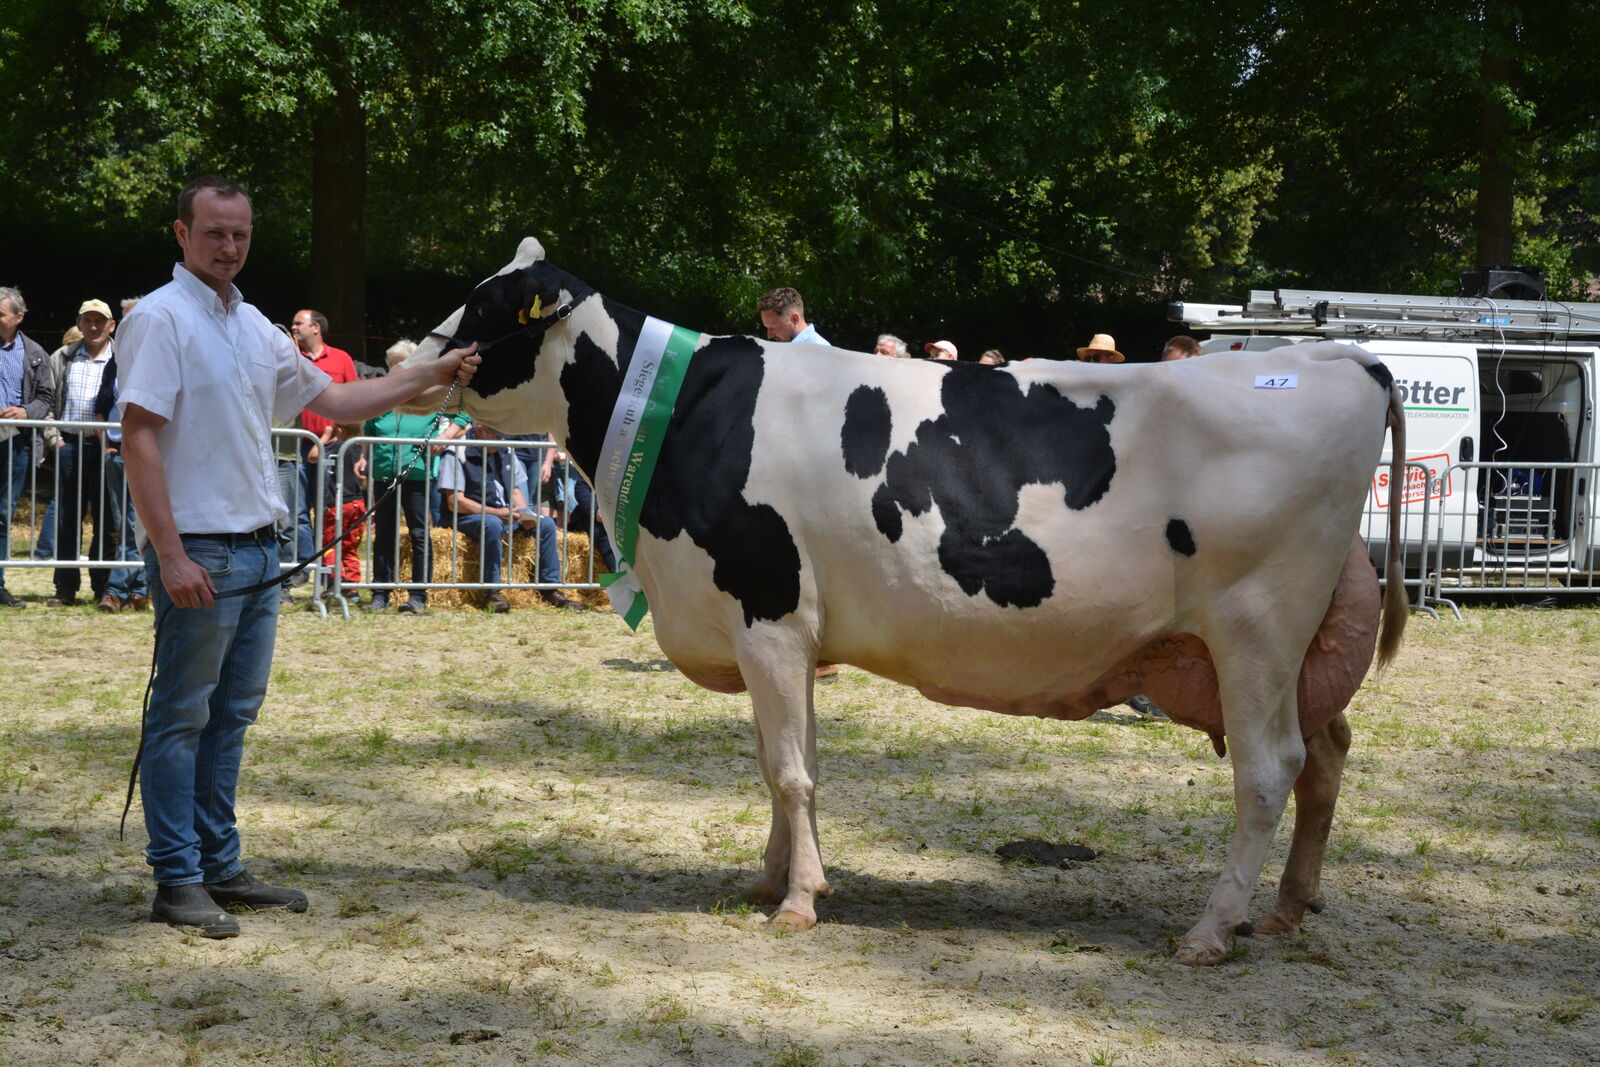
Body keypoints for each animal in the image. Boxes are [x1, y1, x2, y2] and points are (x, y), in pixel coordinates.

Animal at [406, 238, 1408, 966]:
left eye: (485, 307)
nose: (406, 357)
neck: (684, 415)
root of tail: (1348, 361)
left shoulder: (766, 613)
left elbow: (788, 768)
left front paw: (797, 902)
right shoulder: (786, 630)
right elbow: (790, 760)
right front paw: (777, 877)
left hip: (1256, 626)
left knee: (1269, 770)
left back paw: (1211, 929)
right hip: (1294, 645)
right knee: (1325, 755)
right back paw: (1282, 911)